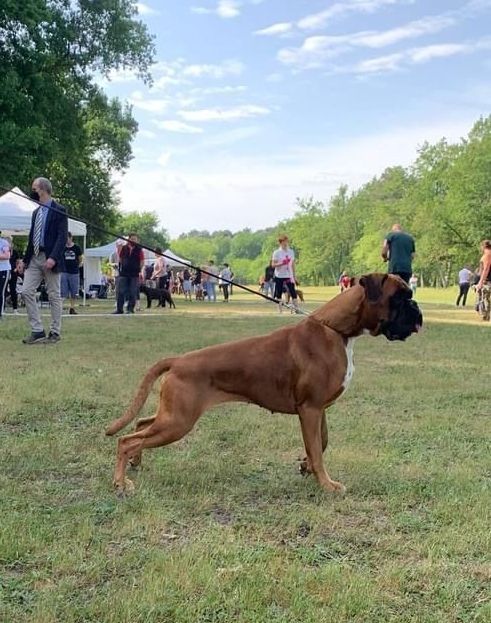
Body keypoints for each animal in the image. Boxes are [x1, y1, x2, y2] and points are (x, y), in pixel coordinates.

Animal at [107, 272, 422, 498]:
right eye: (399, 298)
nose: (417, 308)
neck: (336, 330)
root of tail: (178, 360)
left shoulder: (319, 409)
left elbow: (320, 444)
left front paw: (306, 466)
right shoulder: (310, 409)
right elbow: (318, 449)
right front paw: (326, 484)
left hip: (172, 416)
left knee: (140, 425)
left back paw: (136, 463)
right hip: (178, 422)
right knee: (126, 440)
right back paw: (121, 482)